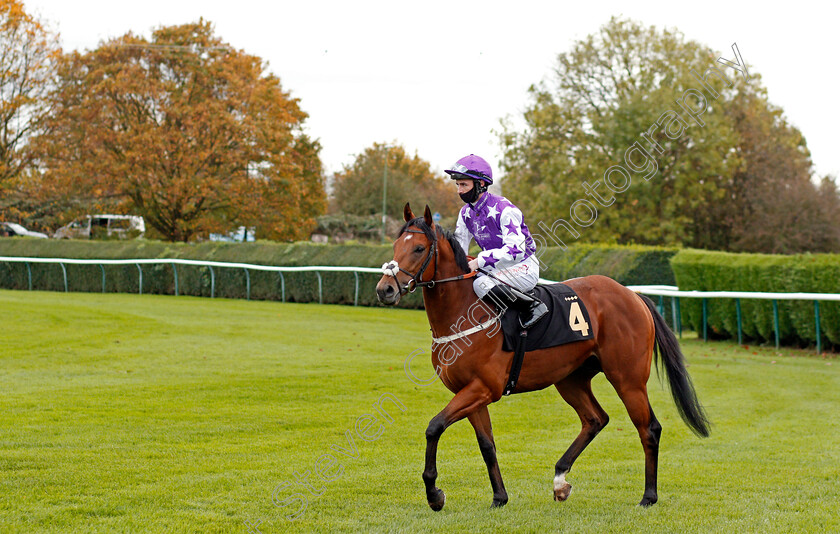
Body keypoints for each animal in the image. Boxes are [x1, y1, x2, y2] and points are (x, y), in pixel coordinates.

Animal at [376, 204, 708, 510]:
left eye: (419, 248)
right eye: (395, 245)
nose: (384, 290)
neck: (465, 312)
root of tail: (633, 296)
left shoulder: (484, 388)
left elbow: (434, 427)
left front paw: (434, 494)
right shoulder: (470, 392)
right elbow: (487, 445)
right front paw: (499, 497)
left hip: (628, 379)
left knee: (648, 428)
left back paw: (648, 496)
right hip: (571, 379)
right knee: (595, 419)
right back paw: (560, 480)